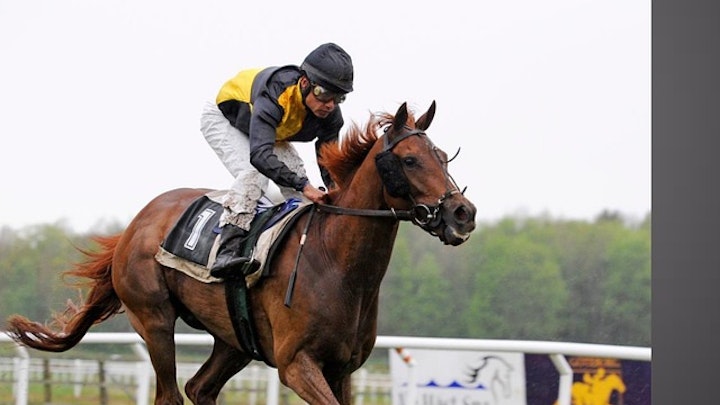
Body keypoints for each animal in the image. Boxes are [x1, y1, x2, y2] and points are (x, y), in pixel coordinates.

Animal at [6, 101, 477, 405]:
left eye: (443, 157)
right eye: (411, 160)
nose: (463, 213)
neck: (337, 264)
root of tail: (136, 224)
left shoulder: (343, 368)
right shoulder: (297, 364)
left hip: (234, 338)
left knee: (200, 389)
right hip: (153, 319)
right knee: (171, 394)